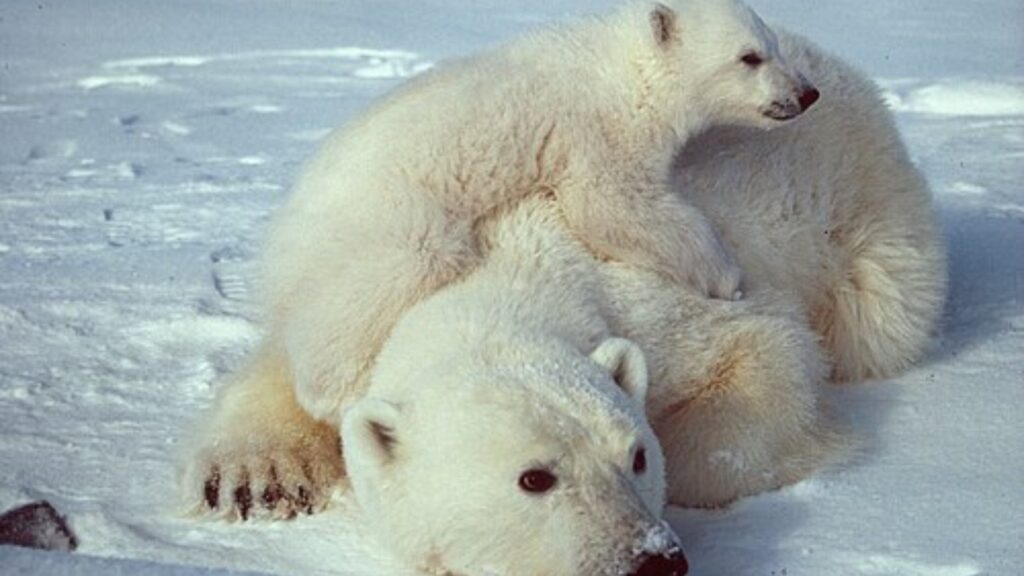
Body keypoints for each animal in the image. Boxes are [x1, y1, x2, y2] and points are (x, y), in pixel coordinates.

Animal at [261, 0, 821, 425]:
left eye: (772, 44)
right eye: (749, 57)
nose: (807, 93)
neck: (623, 70)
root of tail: (282, 236)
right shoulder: (598, 130)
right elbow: (612, 205)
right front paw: (726, 276)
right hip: (388, 217)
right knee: (389, 278)